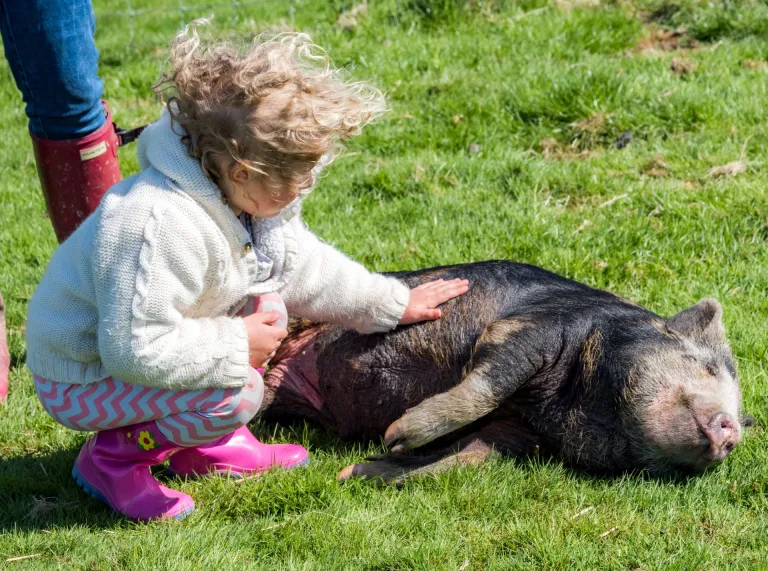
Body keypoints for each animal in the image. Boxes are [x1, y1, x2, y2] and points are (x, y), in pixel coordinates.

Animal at [260, 260, 744, 482]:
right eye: (703, 364)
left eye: (747, 418)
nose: (733, 431)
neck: (566, 405)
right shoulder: (534, 327)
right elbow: (488, 384)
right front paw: (397, 434)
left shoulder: (518, 435)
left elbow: (468, 457)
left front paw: (356, 472)